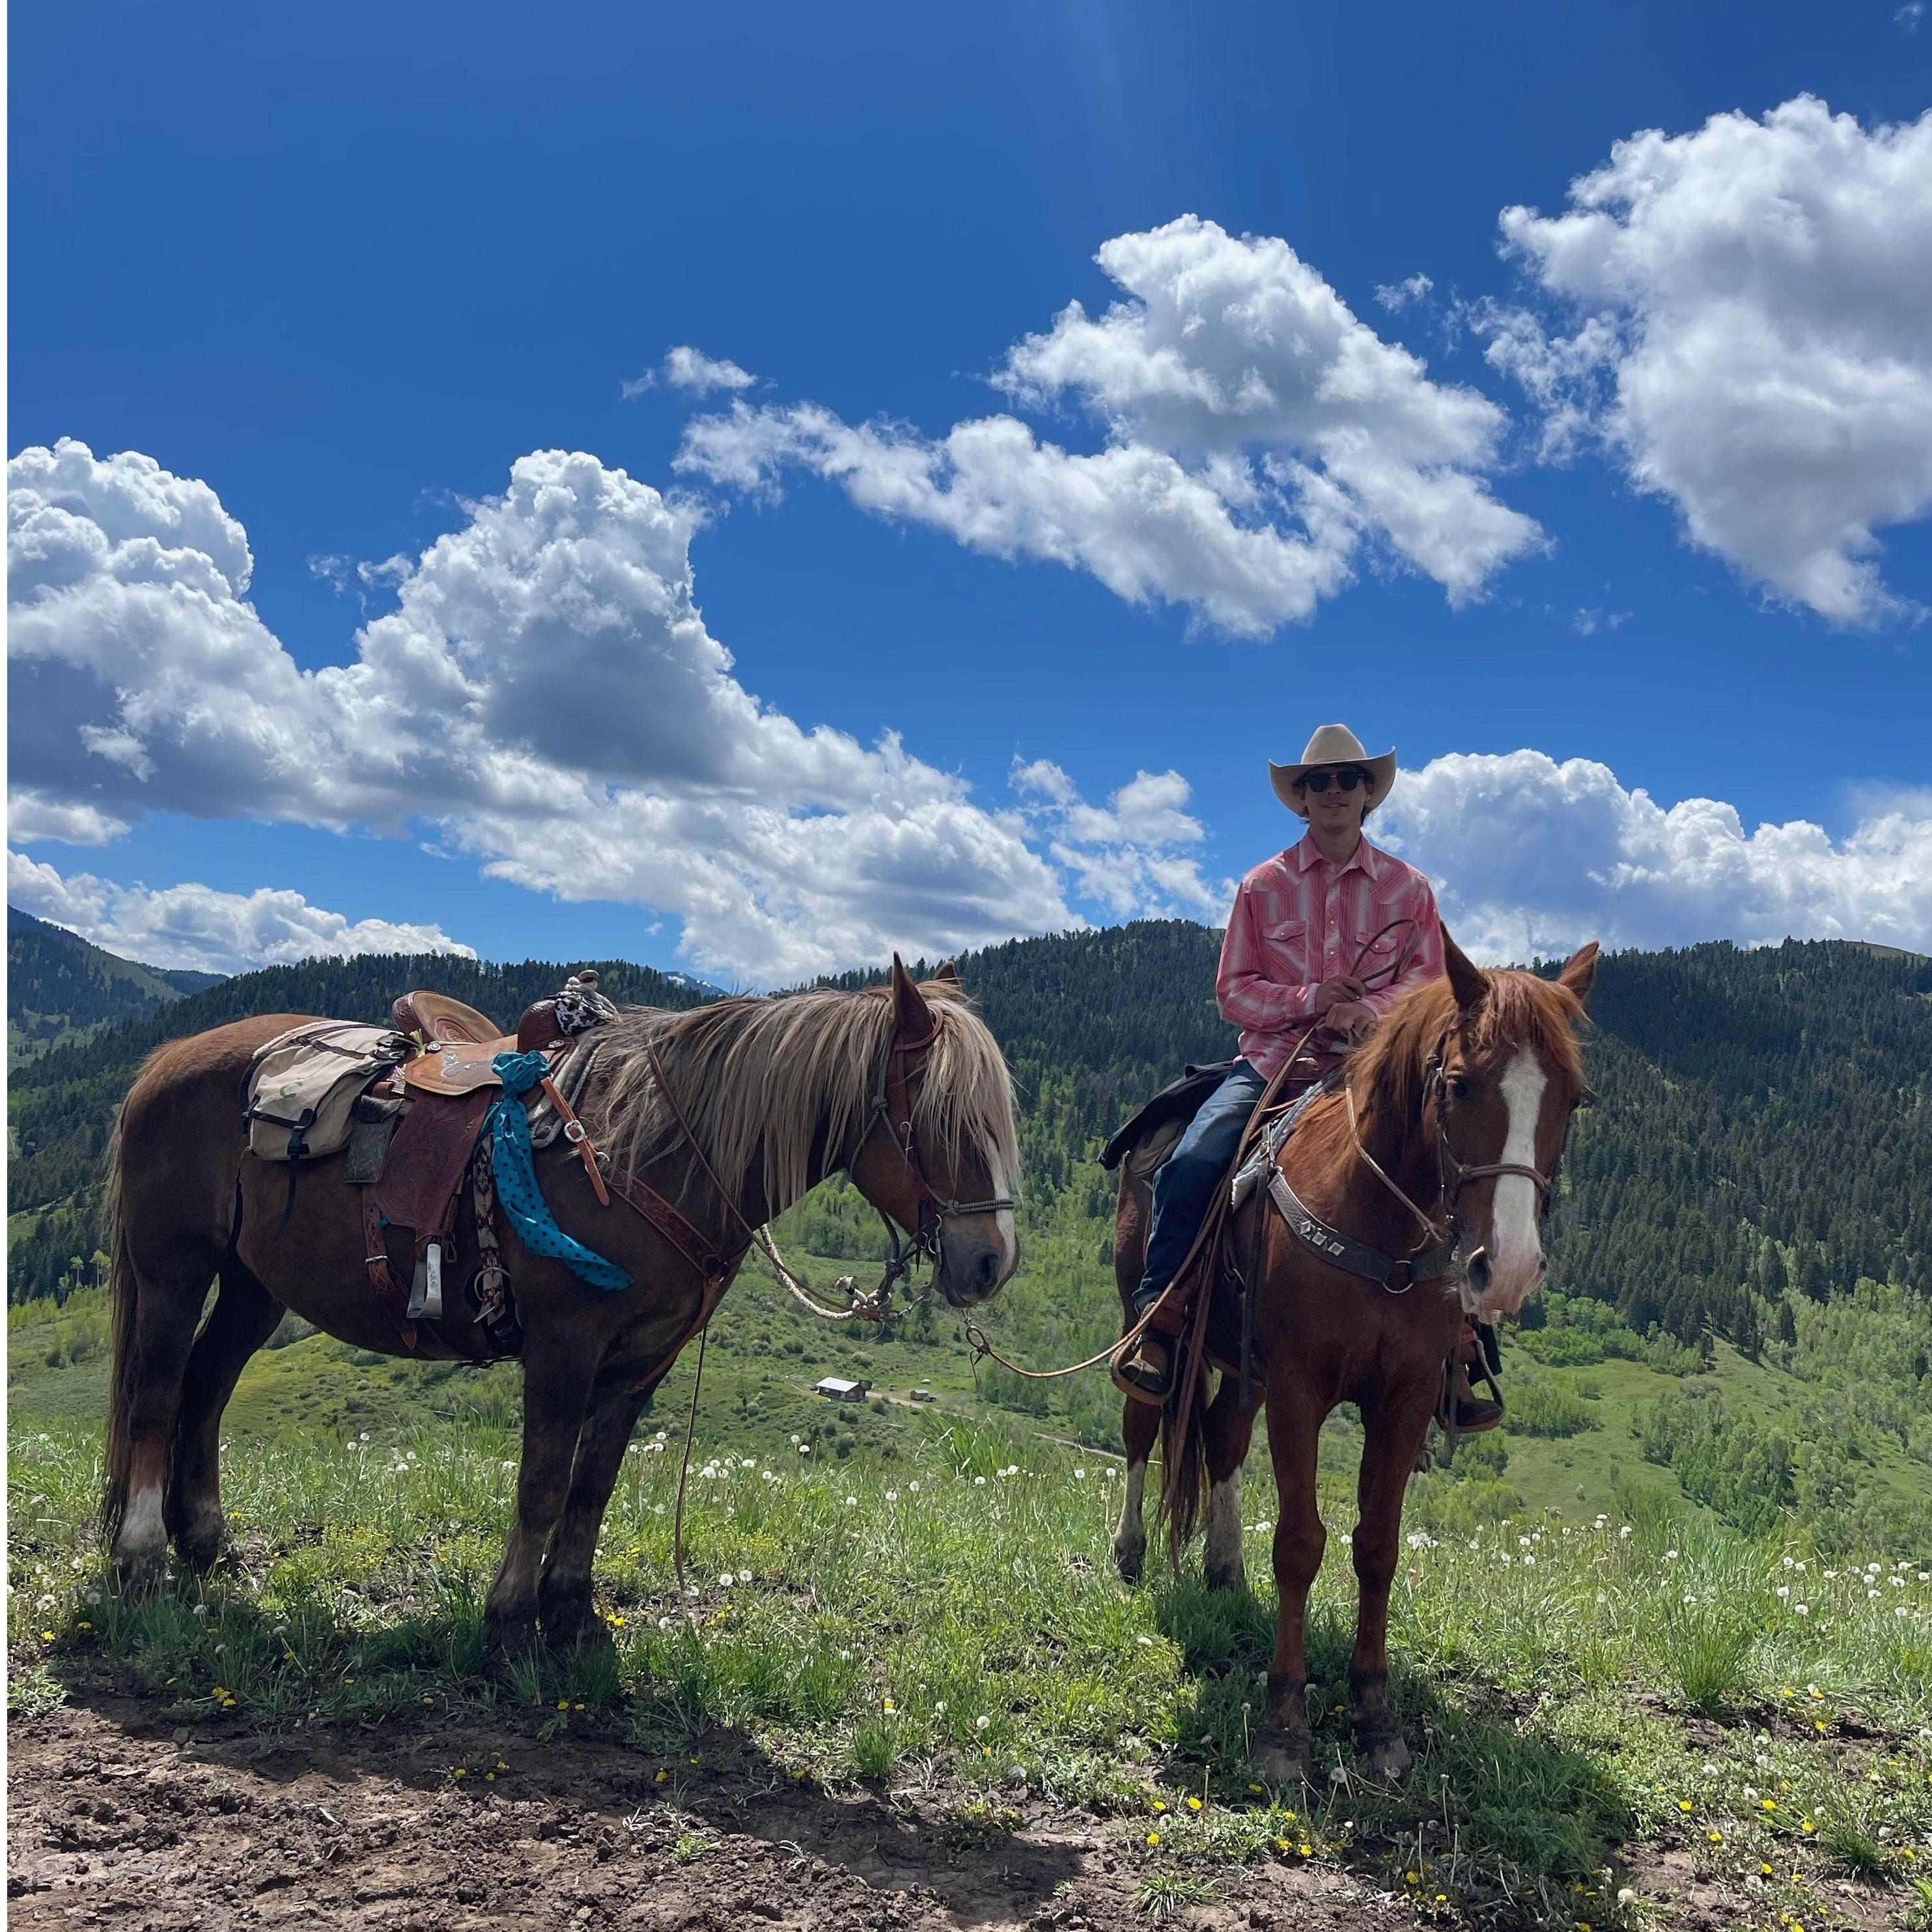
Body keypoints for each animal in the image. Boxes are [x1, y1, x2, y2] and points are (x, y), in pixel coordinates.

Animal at [98, 958, 1020, 1653]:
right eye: (939, 1115)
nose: (992, 1262)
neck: (646, 1150)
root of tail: (165, 1060)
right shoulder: (564, 1345)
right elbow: (542, 1482)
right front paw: (509, 1619)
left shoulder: (641, 1363)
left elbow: (594, 1483)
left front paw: (572, 1612)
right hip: (175, 1270)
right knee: (156, 1394)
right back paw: (142, 1558)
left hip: (255, 1284)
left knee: (207, 1389)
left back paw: (207, 1542)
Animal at [1112, 935, 1591, 1777]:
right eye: (1459, 1085)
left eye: (1573, 1099)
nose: (1507, 1270)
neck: (1380, 1229)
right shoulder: (1300, 1386)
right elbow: (1300, 1544)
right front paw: (1284, 1723)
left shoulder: (1403, 1397)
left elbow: (1378, 1547)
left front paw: (1374, 1714)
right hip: (1150, 1320)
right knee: (1145, 1423)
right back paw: (1131, 1551)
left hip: (1243, 1366)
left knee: (1220, 1435)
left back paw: (1223, 1568)